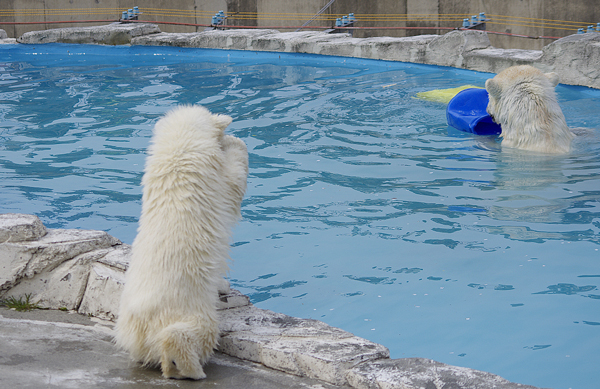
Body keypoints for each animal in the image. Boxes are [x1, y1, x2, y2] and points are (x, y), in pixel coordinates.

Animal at [115, 104, 248, 378]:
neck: (177, 159)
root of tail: (141, 330)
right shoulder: (215, 181)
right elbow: (234, 182)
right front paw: (232, 140)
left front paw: (223, 284)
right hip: (186, 306)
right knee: (193, 333)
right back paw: (192, 369)